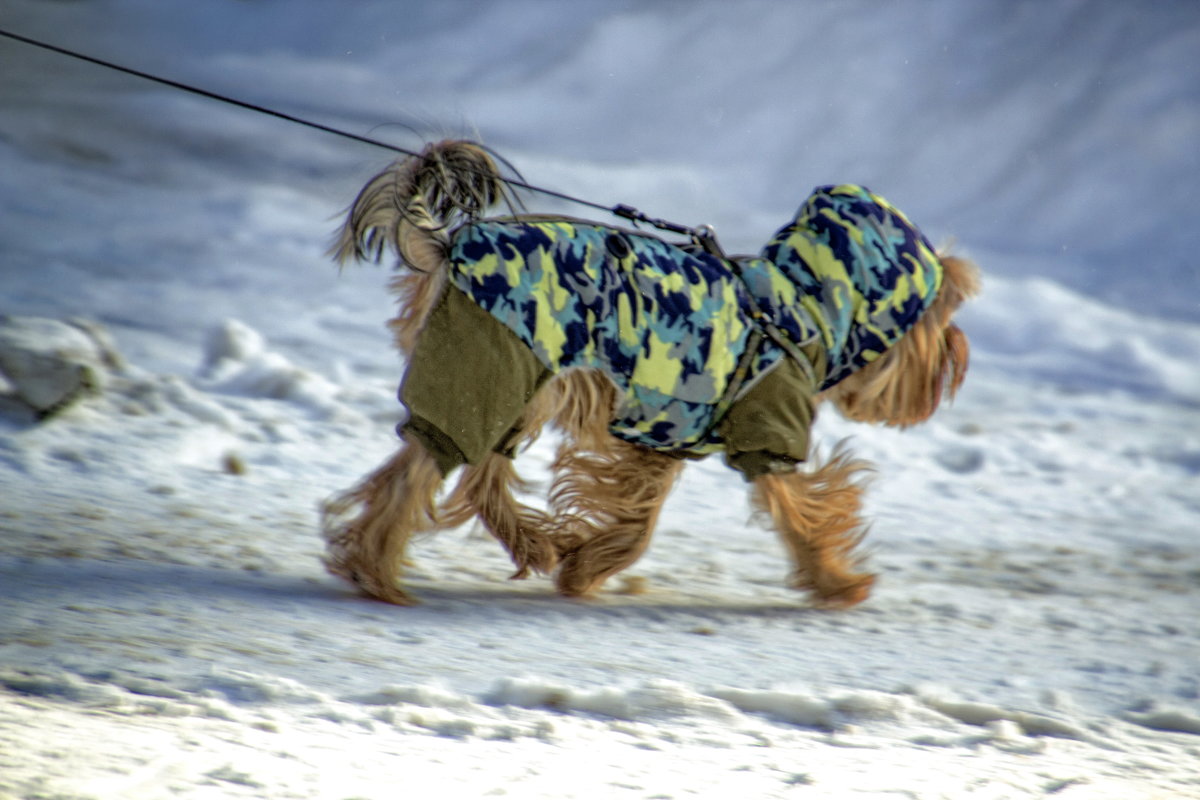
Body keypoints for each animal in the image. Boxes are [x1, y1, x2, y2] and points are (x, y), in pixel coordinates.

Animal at [324, 140, 979, 609]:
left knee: (476, 470)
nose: (959, 353)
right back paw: (377, 571)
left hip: (516, 377)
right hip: (493, 358)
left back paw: (532, 543)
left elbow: (640, 516)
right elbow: (800, 508)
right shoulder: (765, 429)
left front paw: (585, 566)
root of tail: (453, 242)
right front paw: (839, 581)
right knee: (427, 468)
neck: (799, 310)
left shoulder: (664, 436)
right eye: (943, 316)